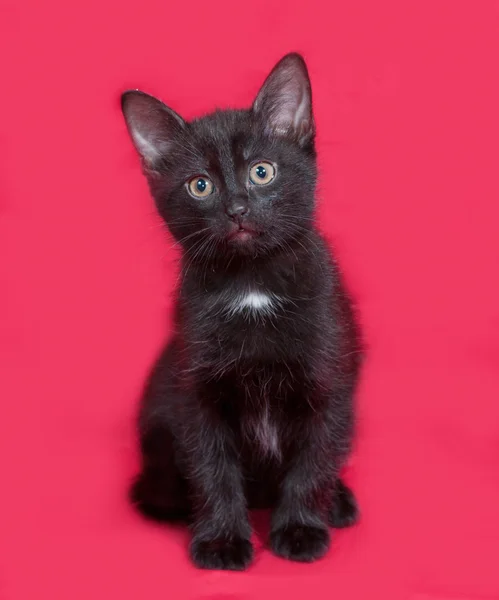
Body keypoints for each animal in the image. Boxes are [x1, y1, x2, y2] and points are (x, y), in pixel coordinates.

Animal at [123, 54, 362, 568]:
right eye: (200, 186)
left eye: (262, 172)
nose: (236, 208)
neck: (252, 284)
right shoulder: (195, 391)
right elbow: (212, 468)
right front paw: (220, 539)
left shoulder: (329, 382)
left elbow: (313, 462)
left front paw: (299, 529)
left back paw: (336, 502)